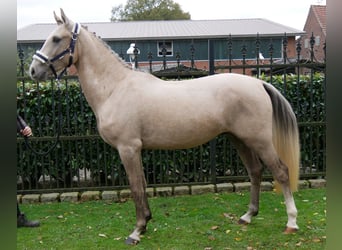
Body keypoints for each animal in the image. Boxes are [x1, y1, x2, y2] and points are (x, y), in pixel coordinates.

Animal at [30, 9, 300, 244]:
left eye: (56, 38)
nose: (34, 70)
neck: (116, 87)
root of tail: (259, 84)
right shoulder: (135, 150)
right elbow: (141, 185)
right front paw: (145, 224)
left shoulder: (128, 148)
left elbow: (136, 187)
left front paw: (136, 231)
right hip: (239, 139)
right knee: (255, 171)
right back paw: (247, 216)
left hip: (259, 140)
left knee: (281, 171)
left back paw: (291, 222)